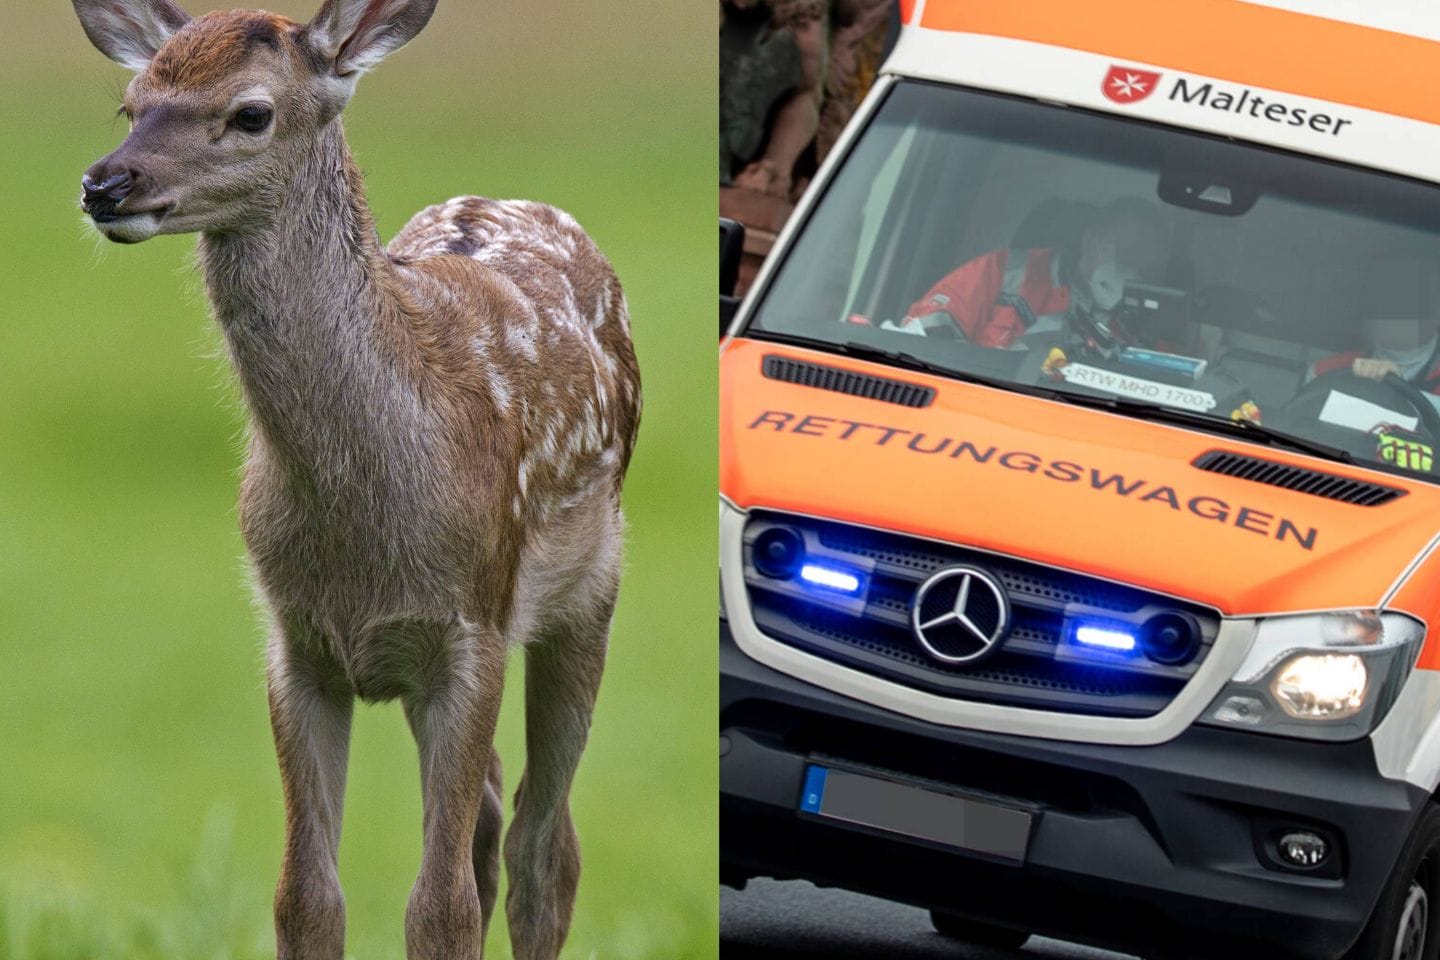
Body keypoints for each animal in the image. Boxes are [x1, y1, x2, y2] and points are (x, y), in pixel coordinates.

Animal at [67, 1, 642, 960]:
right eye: (131, 103)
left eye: (250, 113)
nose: (105, 184)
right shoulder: (296, 642)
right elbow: (306, 896)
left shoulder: (473, 625)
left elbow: (440, 908)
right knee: (491, 819)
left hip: (588, 595)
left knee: (542, 844)